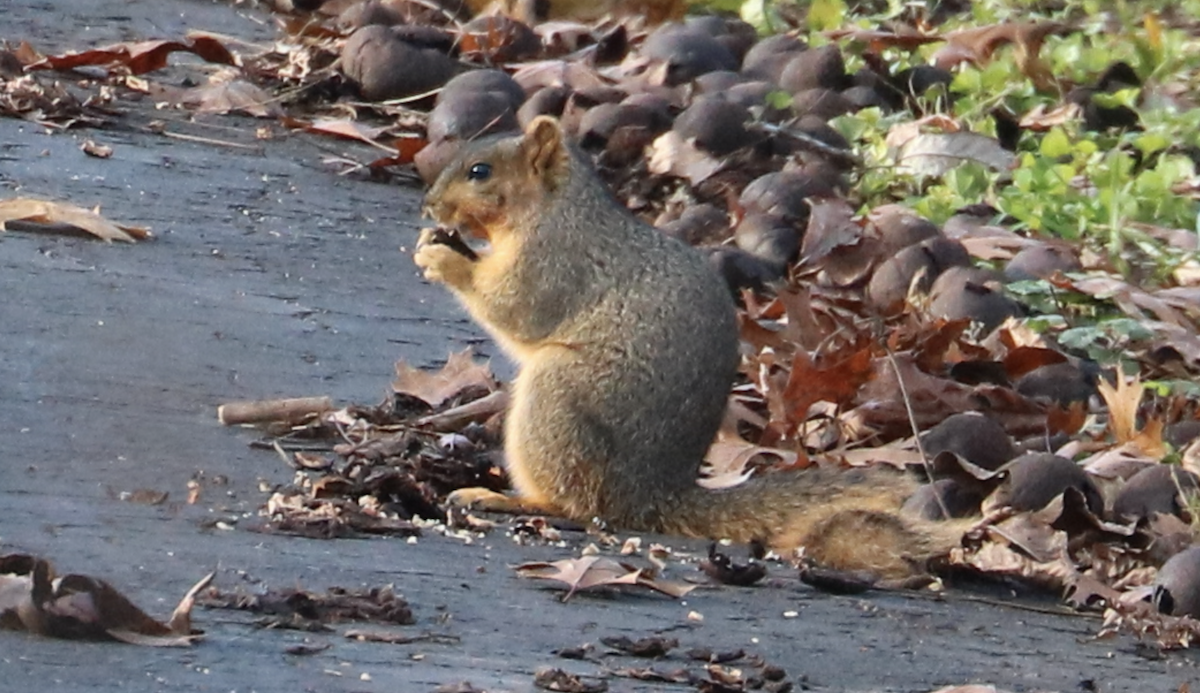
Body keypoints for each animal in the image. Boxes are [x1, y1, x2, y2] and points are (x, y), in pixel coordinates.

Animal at [414, 116, 954, 580]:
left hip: (557, 397)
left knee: (580, 502)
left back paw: (507, 499)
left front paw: (444, 258)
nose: (429, 206)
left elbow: (514, 309)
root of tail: (653, 493)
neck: (553, 208)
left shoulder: (555, 262)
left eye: (480, 172)